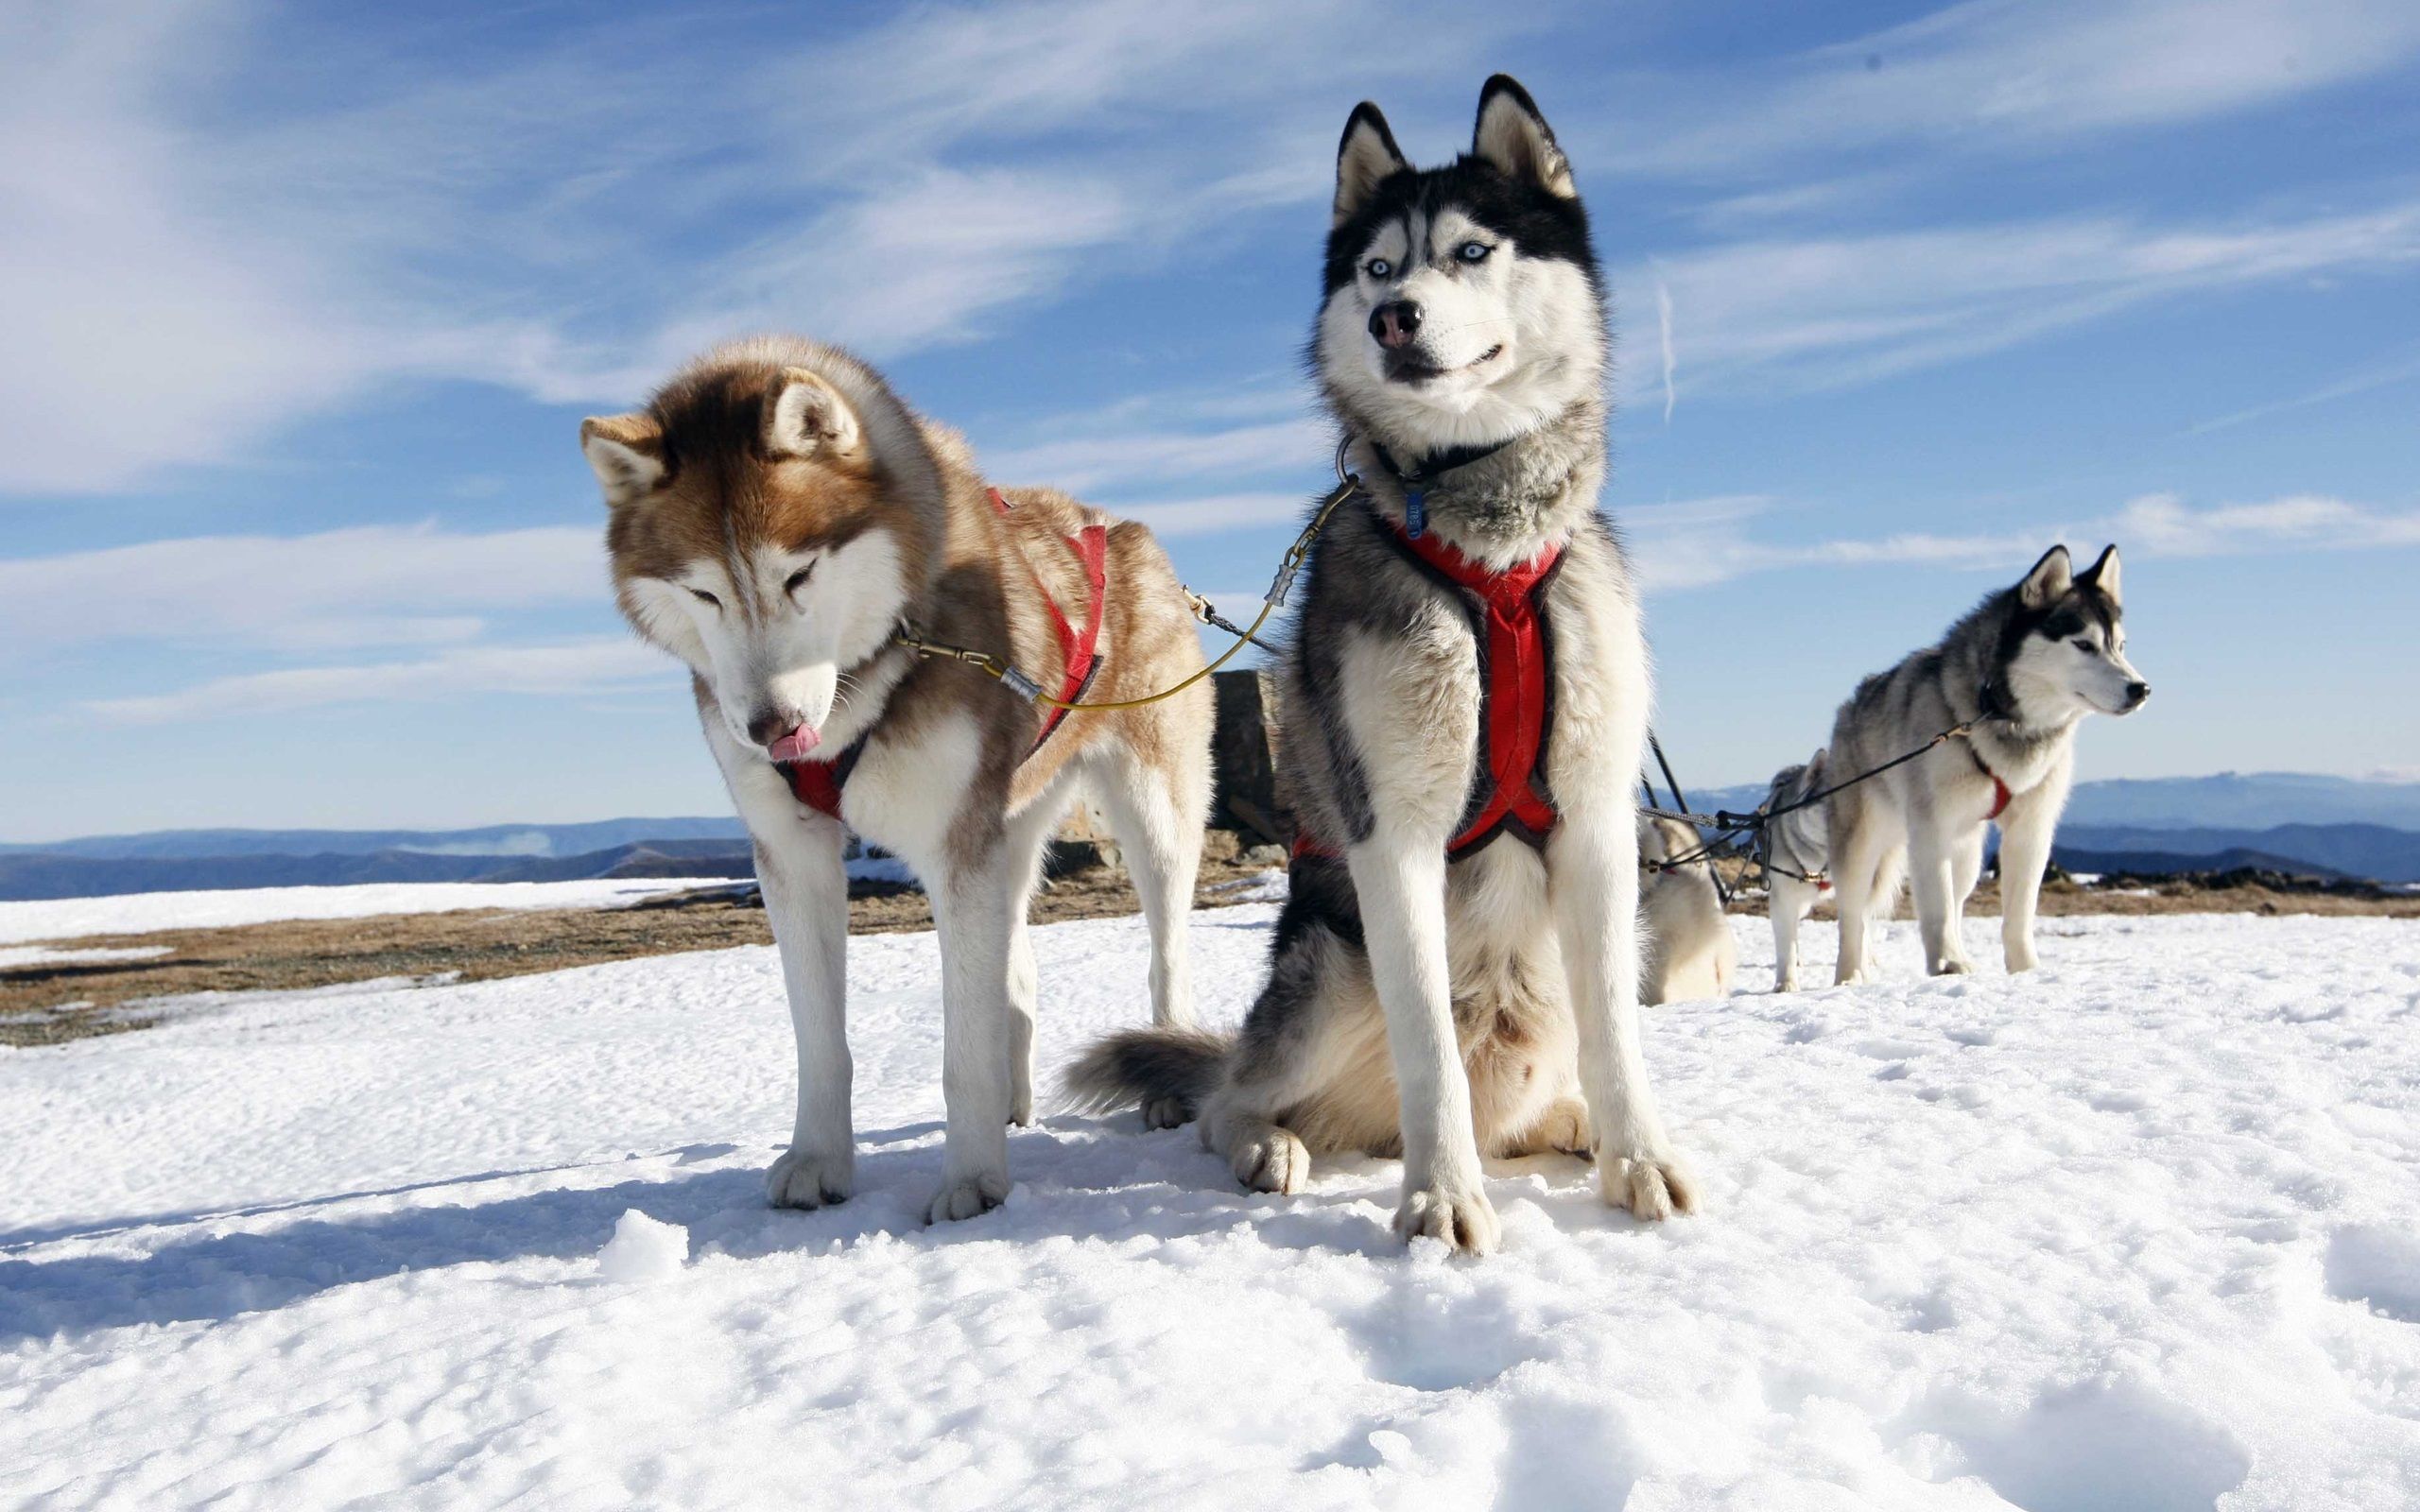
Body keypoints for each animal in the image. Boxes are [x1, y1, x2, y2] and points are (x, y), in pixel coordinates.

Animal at [578, 335, 1219, 1219]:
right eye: (703, 591)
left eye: (799, 574)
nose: (770, 729)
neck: (874, 666)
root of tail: (1116, 529)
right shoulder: (793, 853)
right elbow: (821, 1041)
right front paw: (819, 1159)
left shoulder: (954, 848)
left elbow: (961, 1050)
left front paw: (972, 1182)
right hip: (1010, 823)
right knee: (1016, 967)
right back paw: (1016, 1099)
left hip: (1151, 812)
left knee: (1165, 953)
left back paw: (1160, 1071)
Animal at [1069, 74, 1694, 1247]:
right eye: (1374, 266)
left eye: (1470, 251)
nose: (1390, 315)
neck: (1487, 551)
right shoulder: (1392, 832)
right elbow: (1428, 1053)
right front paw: (1440, 1201)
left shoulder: (1595, 822)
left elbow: (1620, 1035)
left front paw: (1641, 1159)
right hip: (1326, 962)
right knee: (1230, 1098)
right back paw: (1271, 1143)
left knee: (1543, 1087)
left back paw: (1575, 1125)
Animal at [1820, 541, 2149, 977]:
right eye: (2084, 644)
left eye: (2121, 646)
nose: (2141, 689)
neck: (1996, 712)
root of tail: (1850, 706)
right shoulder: (1931, 828)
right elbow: (1936, 909)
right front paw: (1946, 963)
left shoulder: (2030, 828)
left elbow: (2018, 915)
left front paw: (2025, 971)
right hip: (1863, 844)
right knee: (1854, 916)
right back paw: (1849, 975)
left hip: (1967, 852)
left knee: (1956, 899)